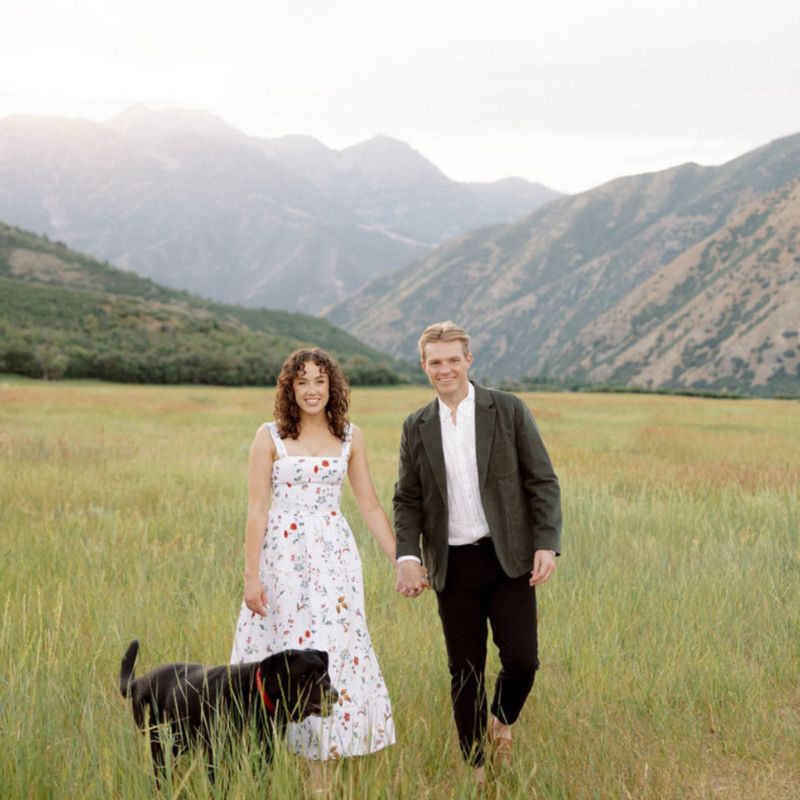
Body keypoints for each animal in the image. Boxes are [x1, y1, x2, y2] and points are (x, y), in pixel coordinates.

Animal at [120, 640, 337, 781]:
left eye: (324, 672)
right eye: (303, 675)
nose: (334, 694)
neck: (255, 695)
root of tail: (138, 682)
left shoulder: (264, 753)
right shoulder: (216, 755)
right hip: (161, 745)